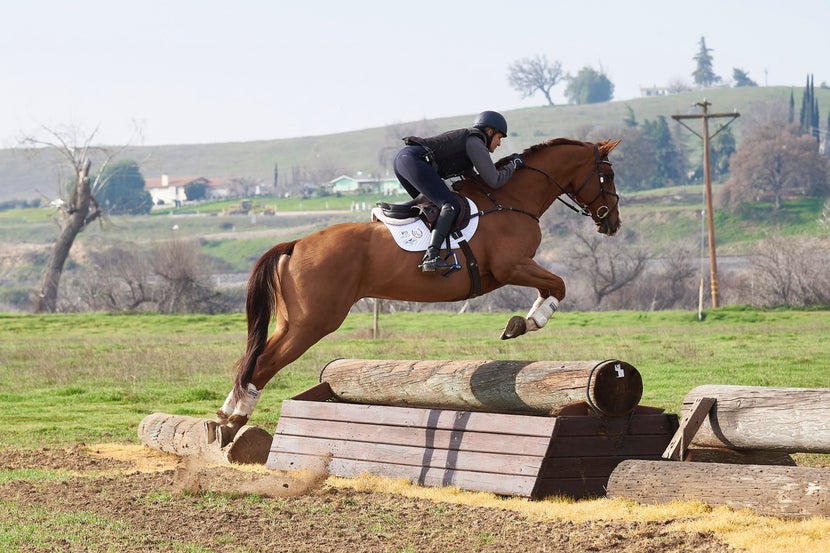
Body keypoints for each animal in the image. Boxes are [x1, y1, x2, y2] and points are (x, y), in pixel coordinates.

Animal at [208, 138, 624, 444]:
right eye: (607, 173)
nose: (612, 222)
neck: (510, 200)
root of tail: (294, 244)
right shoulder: (512, 266)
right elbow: (559, 286)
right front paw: (526, 323)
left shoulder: (514, 269)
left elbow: (552, 285)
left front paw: (521, 322)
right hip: (314, 322)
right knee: (264, 363)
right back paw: (234, 421)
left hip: (292, 321)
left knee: (253, 359)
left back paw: (225, 415)